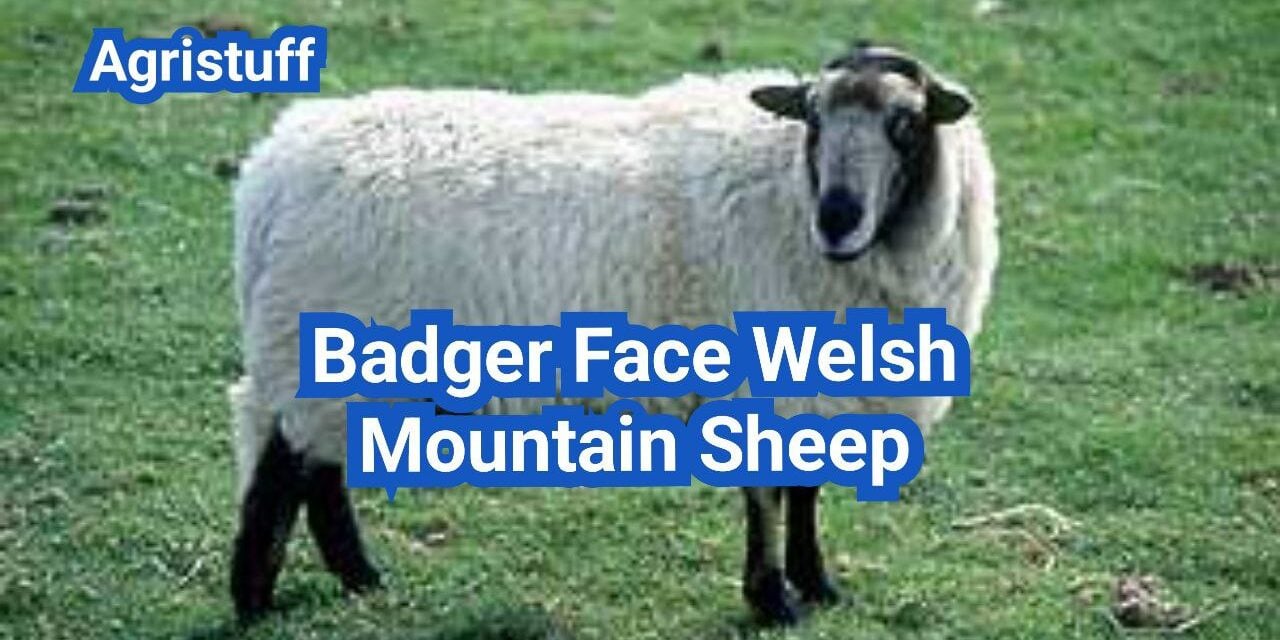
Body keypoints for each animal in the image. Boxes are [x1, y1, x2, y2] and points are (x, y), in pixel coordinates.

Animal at [229, 43, 997, 626]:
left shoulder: (820, 387)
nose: (837, 218)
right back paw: (256, 598)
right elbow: (769, 497)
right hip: (319, 341)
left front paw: (817, 585)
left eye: (906, 123)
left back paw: (360, 578)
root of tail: (270, 171)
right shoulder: (769, 378)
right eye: (810, 120)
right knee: (284, 468)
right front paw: (772, 599)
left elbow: (804, 490)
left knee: (316, 469)